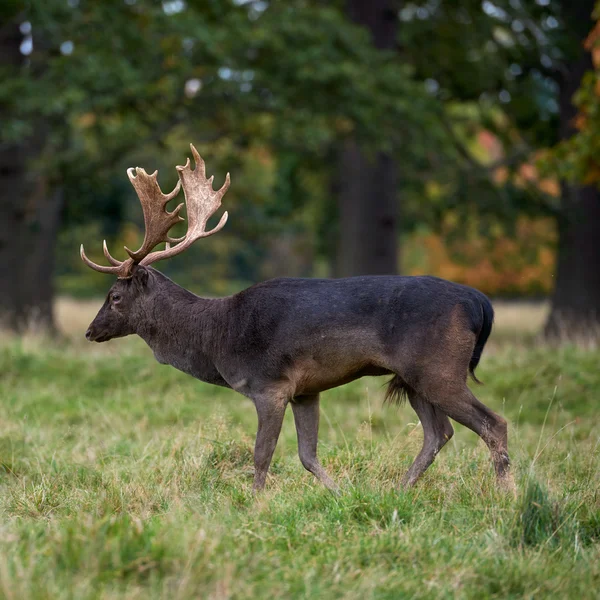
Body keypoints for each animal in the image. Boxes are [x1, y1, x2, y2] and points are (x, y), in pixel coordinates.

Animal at [79, 144, 510, 492]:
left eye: (114, 296)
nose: (89, 331)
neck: (218, 337)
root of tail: (479, 303)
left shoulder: (269, 384)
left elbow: (262, 454)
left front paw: (254, 504)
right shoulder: (307, 390)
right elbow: (308, 455)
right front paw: (340, 495)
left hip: (439, 367)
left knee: (493, 424)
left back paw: (506, 494)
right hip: (412, 377)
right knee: (439, 433)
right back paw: (399, 492)